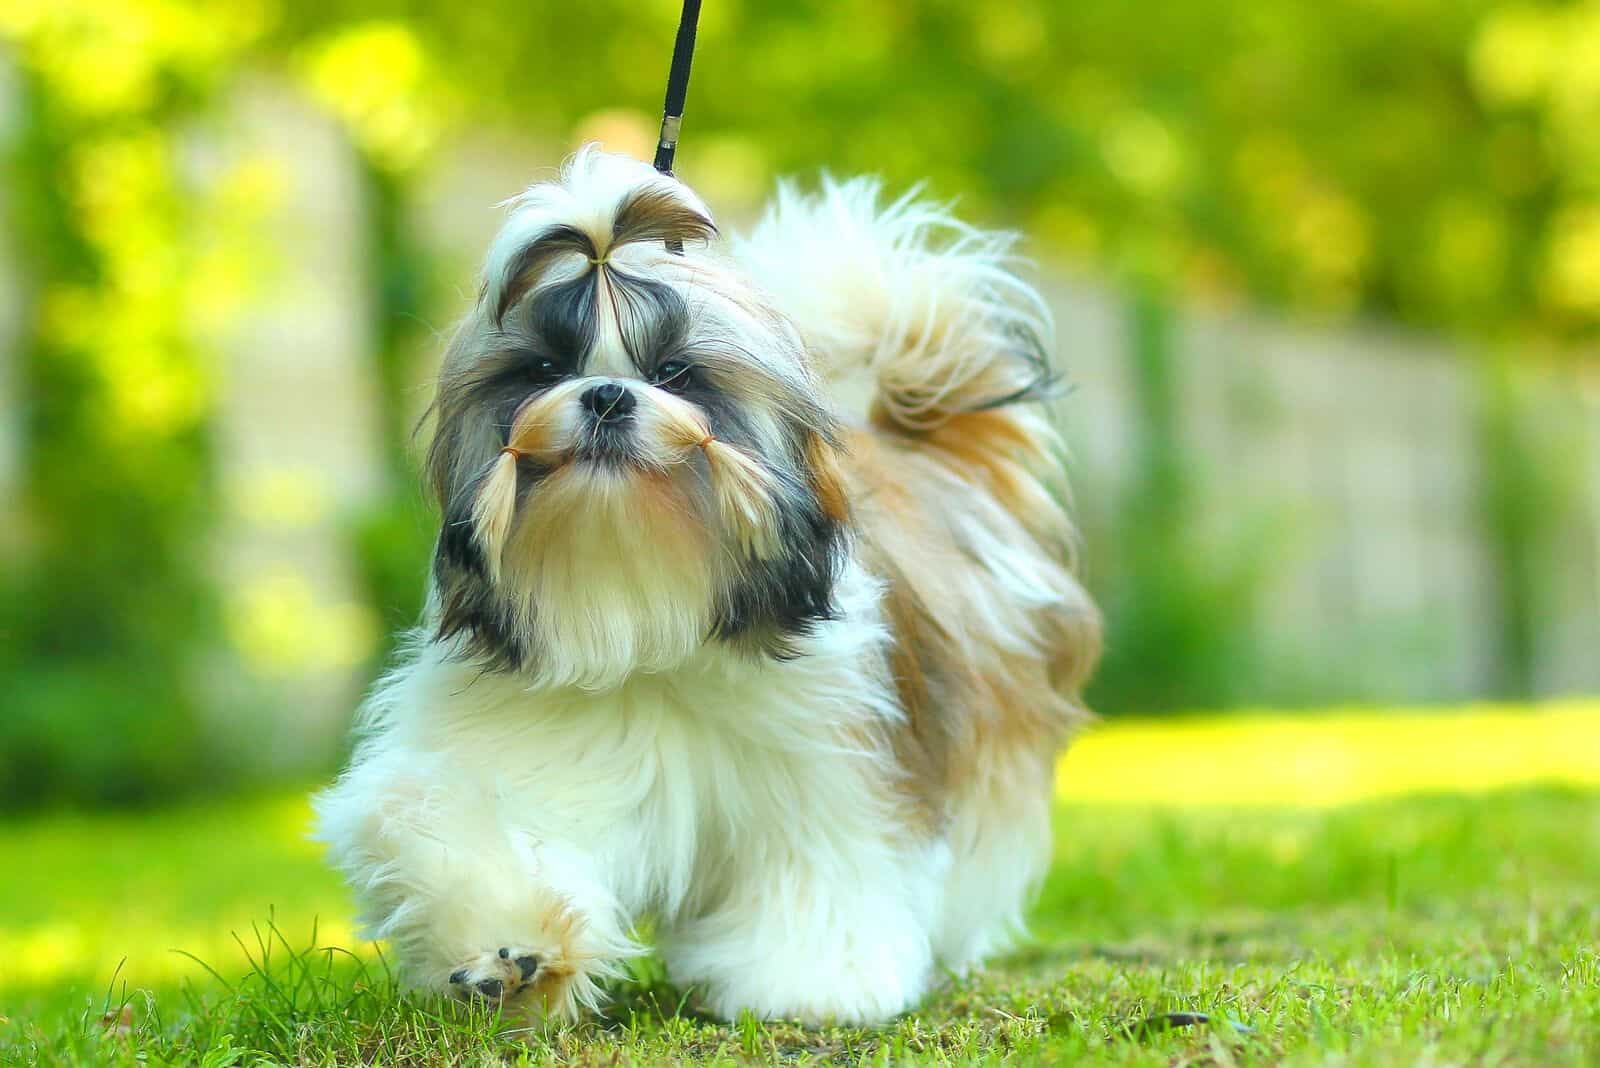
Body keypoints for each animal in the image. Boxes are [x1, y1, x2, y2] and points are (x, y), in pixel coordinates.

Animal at [318, 146, 1107, 1023]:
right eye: (546, 369)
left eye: (675, 373)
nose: (605, 394)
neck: (639, 609)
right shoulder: (516, 752)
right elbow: (446, 820)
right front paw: (508, 951)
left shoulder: (826, 773)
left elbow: (821, 871)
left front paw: (813, 980)